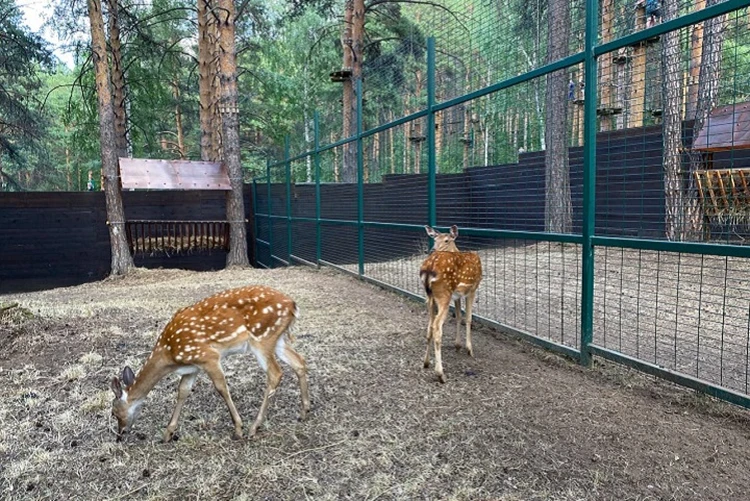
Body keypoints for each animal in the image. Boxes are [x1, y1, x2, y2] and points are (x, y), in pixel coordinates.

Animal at [110, 286, 310, 442]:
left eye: (114, 412)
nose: (120, 435)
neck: (170, 355)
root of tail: (293, 305)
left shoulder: (208, 356)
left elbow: (221, 387)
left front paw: (238, 429)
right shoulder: (193, 366)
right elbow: (182, 391)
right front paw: (167, 434)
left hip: (262, 337)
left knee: (275, 373)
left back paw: (254, 427)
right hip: (277, 339)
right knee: (300, 361)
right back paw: (304, 412)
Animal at [420, 225, 484, 380]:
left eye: (446, 240)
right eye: (434, 239)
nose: (432, 249)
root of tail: (429, 269)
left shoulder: (457, 296)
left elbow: (459, 316)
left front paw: (457, 345)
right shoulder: (473, 289)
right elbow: (468, 318)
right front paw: (469, 349)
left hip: (430, 297)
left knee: (430, 326)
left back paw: (426, 363)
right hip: (444, 294)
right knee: (437, 326)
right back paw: (440, 374)